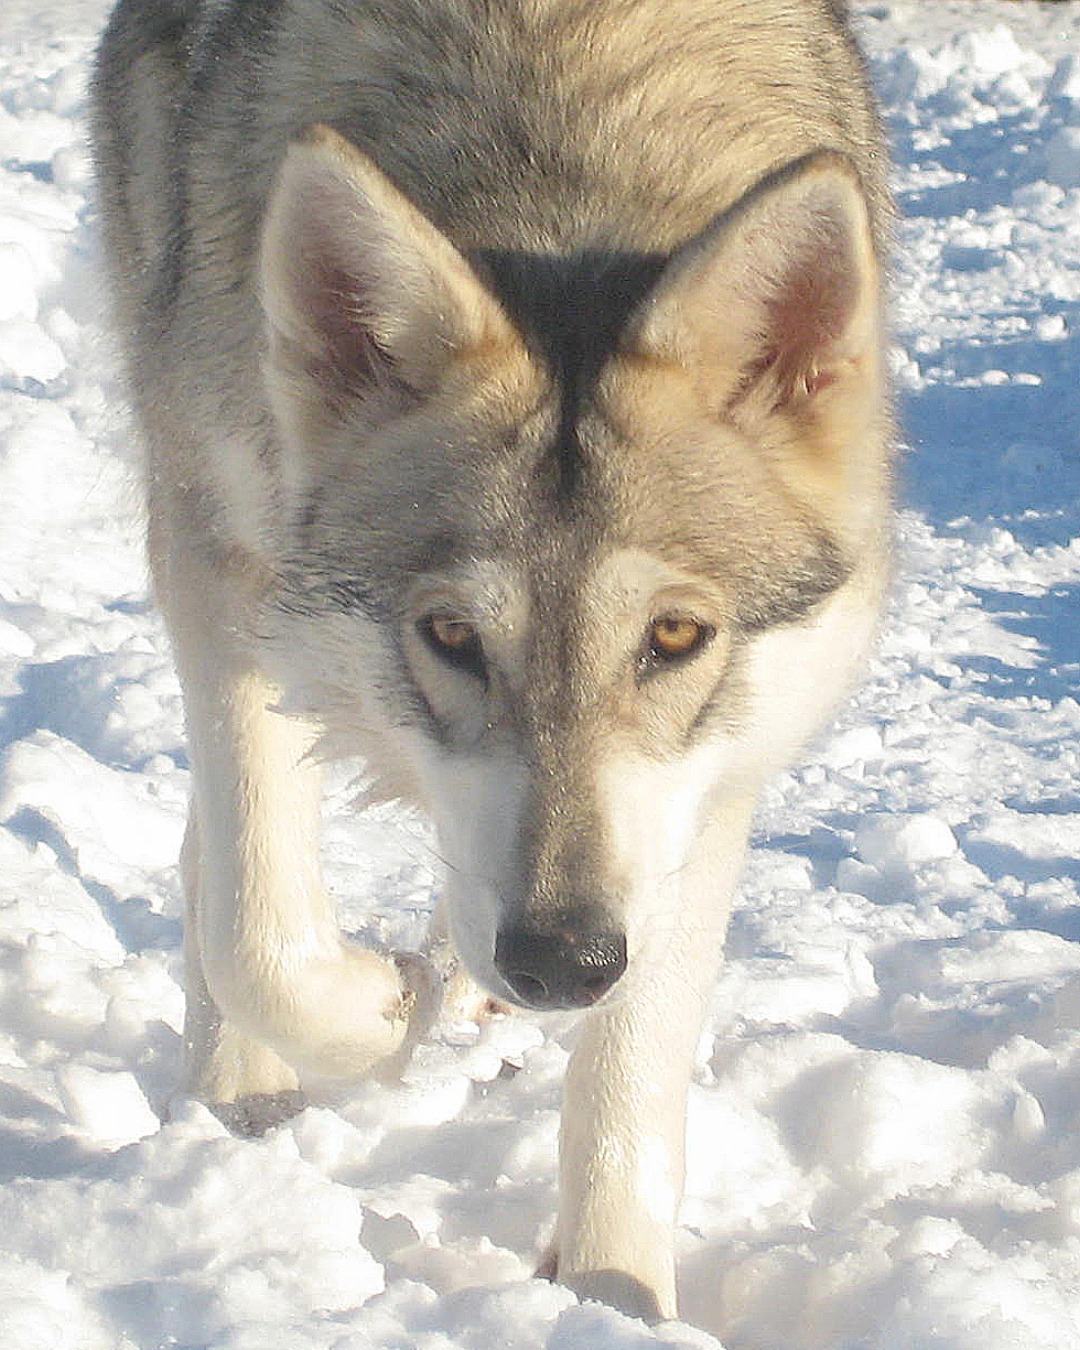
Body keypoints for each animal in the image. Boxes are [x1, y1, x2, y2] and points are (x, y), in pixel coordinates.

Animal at [91, 0, 891, 1323]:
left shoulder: (710, 779)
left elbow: (633, 1077)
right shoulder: (232, 568)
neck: (558, 149)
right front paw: (375, 1011)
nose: (559, 962)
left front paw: (617, 1305)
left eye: (675, 637)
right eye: (453, 636)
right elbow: (263, 925)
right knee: (216, 857)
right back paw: (244, 1096)